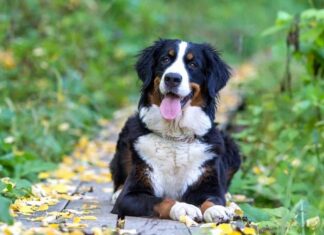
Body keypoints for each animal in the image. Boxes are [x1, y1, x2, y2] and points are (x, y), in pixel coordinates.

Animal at [110, 38, 240, 222]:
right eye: (165, 59)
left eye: (193, 64)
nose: (172, 78)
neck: (175, 136)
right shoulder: (131, 195)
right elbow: (161, 200)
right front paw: (183, 207)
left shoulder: (208, 185)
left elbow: (212, 199)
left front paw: (217, 210)